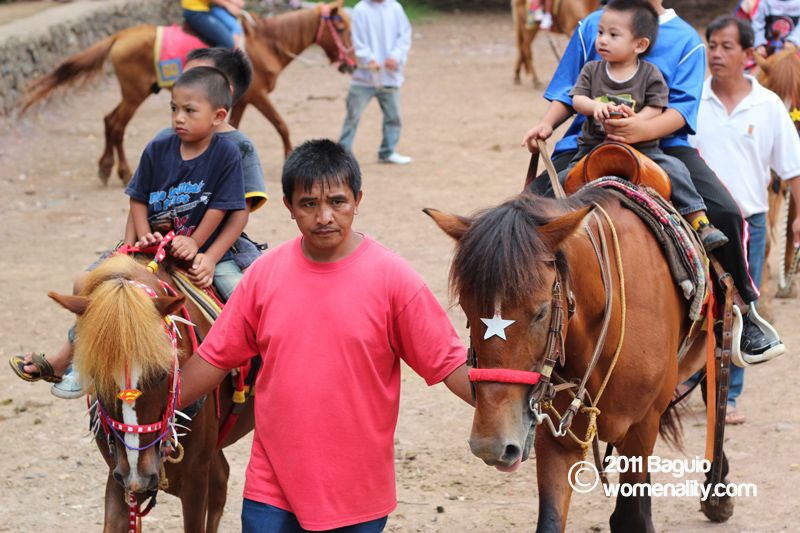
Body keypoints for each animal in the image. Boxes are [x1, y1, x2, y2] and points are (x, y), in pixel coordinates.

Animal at [21, 2, 354, 184]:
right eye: (342, 29)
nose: (351, 63)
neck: (265, 44)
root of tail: (122, 35)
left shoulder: (240, 101)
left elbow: (236, 130)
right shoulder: (258, 95)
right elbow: (282, 125)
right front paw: (288, 158)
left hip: (134, 92)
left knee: (108, 120)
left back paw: (106, 168)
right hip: (135, 93)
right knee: (115, 124)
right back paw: (123, 172)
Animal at [428, 189, 736, 528]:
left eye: (541, 312)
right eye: (466, 310)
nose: (490, 444)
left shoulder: (643, 425)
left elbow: (631, 516)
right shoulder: (557, 436)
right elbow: (551, 519)